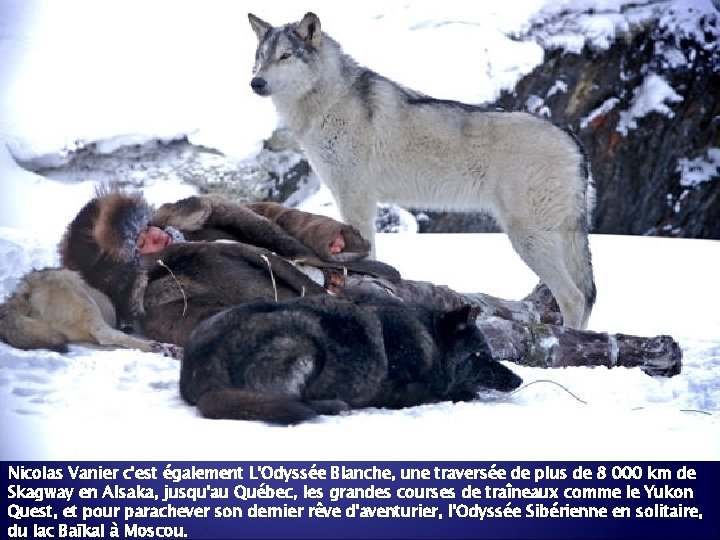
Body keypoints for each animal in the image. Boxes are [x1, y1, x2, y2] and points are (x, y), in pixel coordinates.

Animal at [177, 294, 520, 424]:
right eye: (479, 355)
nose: (518, 379)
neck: (431, 341)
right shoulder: (398, 392)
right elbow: (444, 392)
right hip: (307, 340)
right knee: (293, 401)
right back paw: (334, 406)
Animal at [248, 12, 596, 330]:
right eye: (260, 57)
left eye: (285, 56)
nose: (256, 82)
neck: (329, 100)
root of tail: (572, 139)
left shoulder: (356, 197)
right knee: (586, 294)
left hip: (528, 238)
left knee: (574, 298)